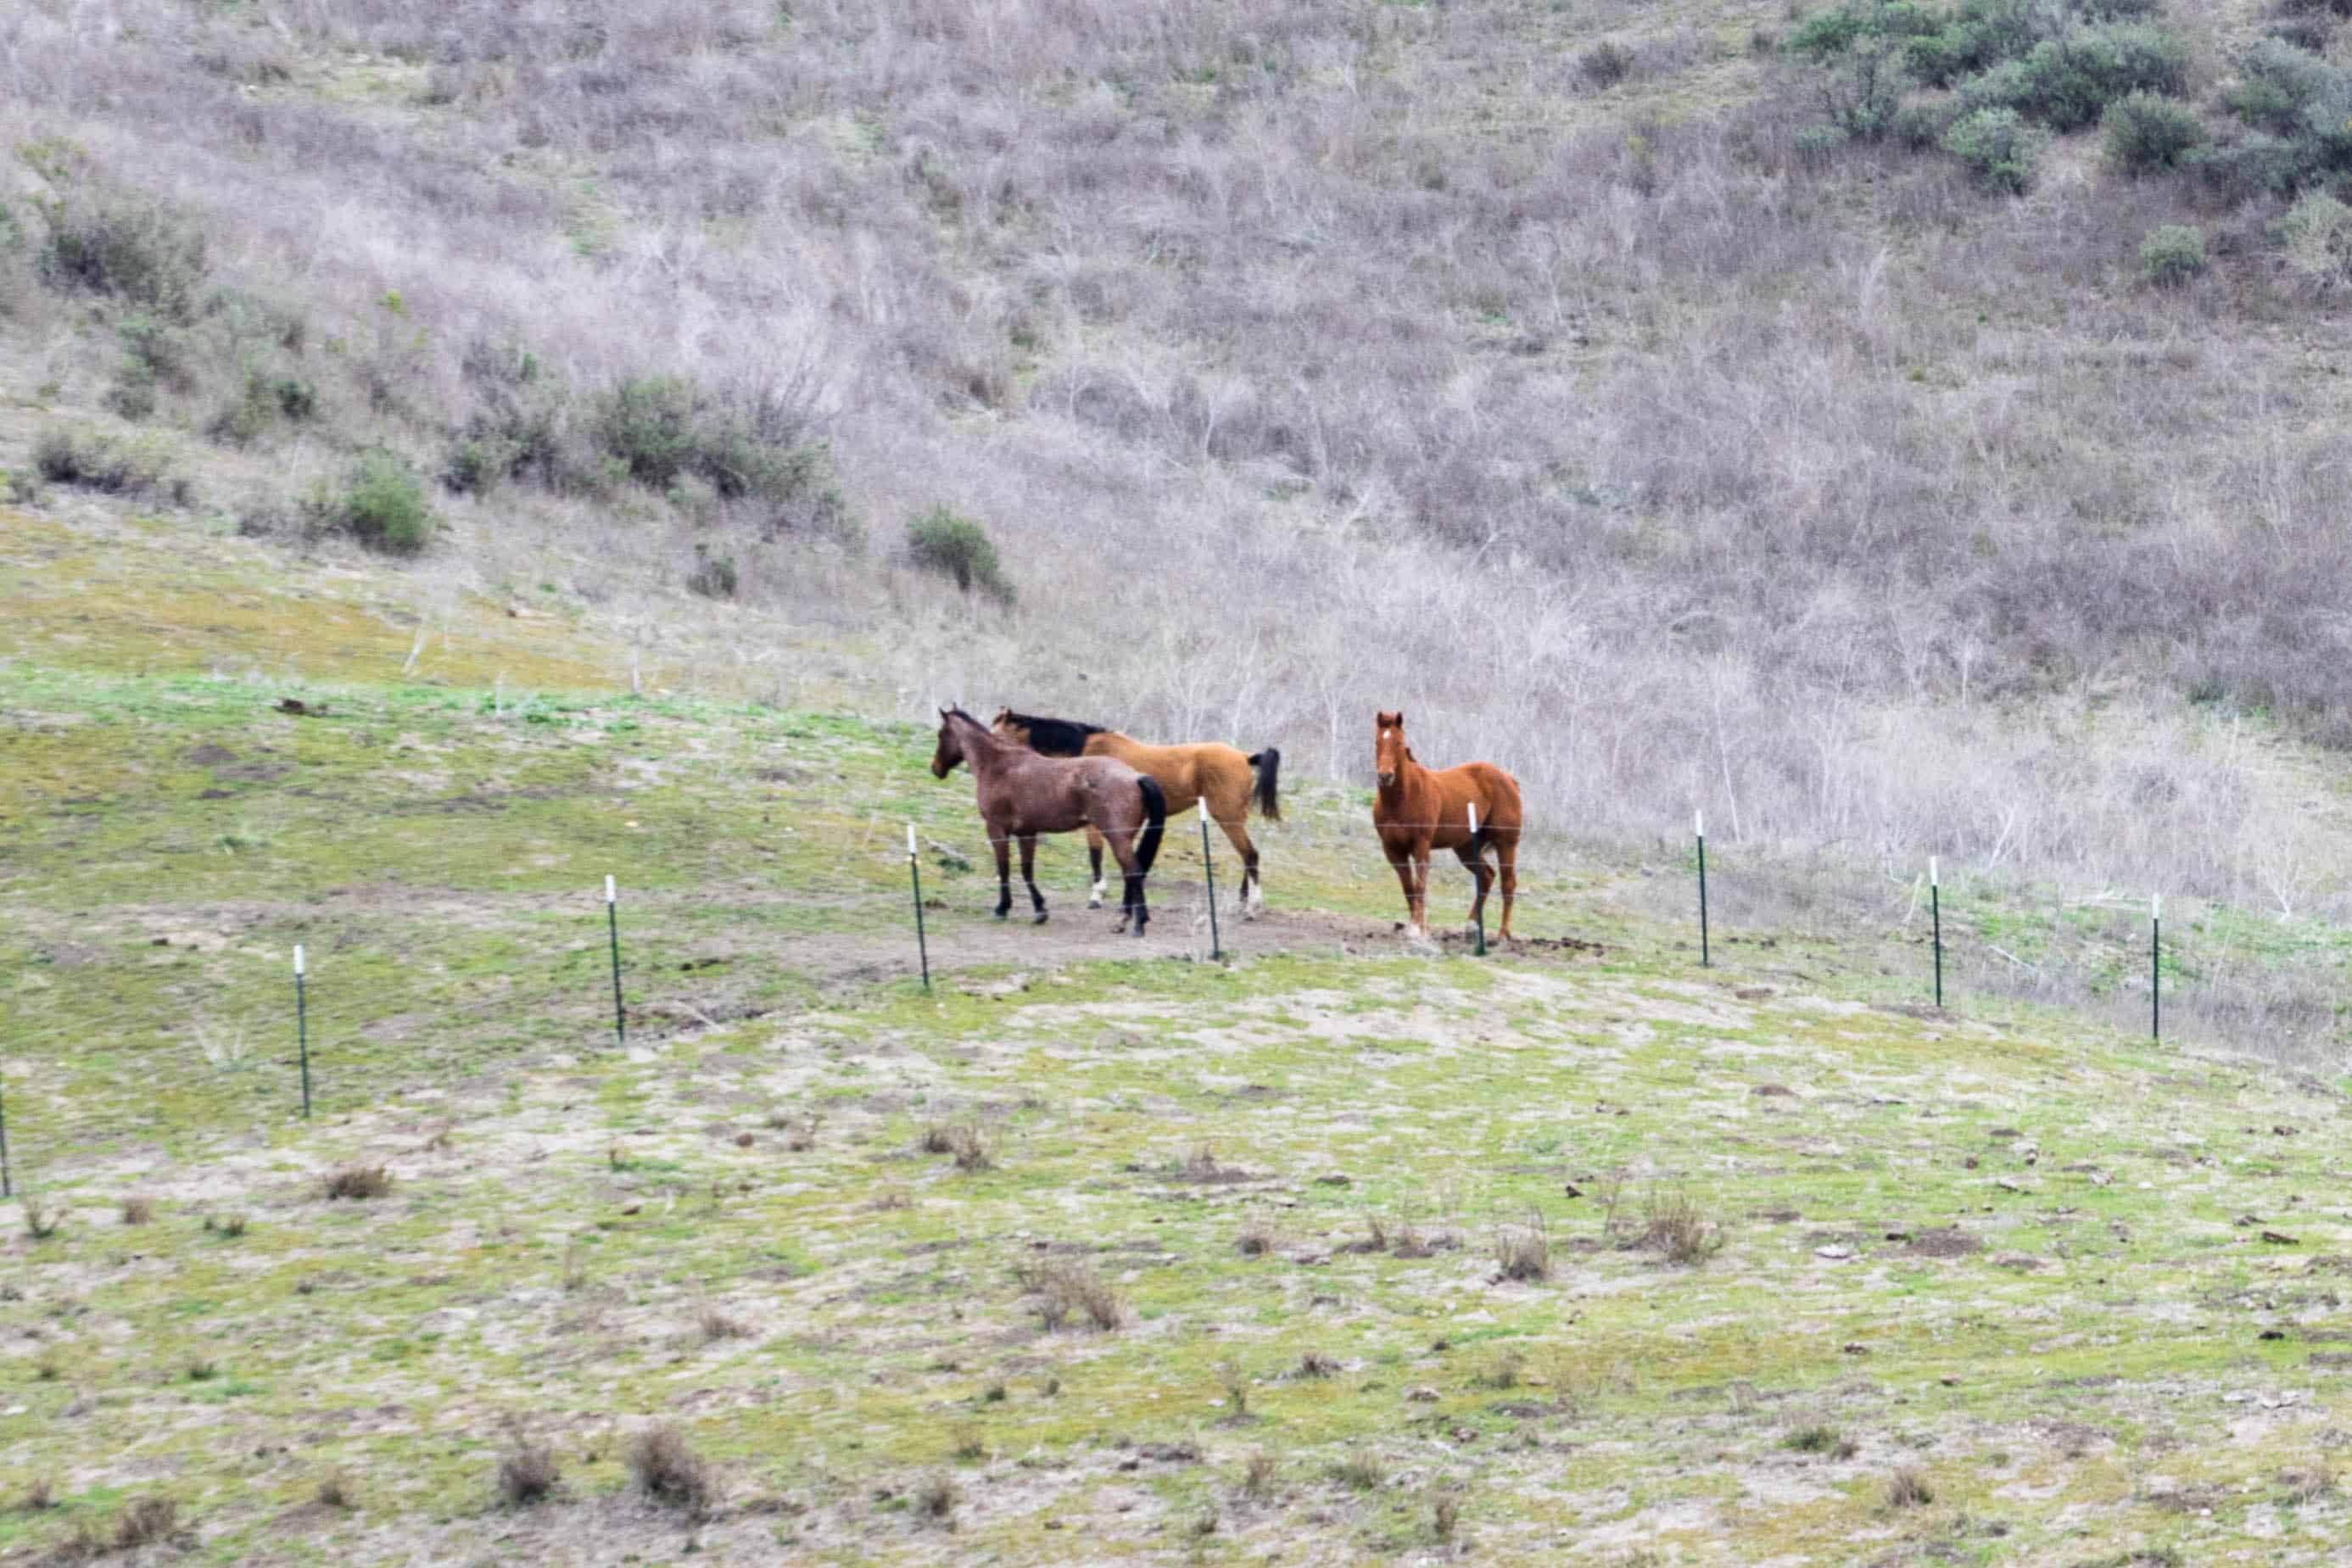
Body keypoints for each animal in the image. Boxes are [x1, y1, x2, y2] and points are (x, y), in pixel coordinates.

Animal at [930, 707, 1167, 934]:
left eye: (941, 734)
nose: (935, 769)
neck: (999, 765)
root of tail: (1136, 776)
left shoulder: (996, 830)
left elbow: (1004, 868)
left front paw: (1002, 908)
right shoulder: (1027, 833)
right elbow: (1027, 870)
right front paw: (1040, 911)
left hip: (1117, 839)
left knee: (1133, 873)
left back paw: (1134, 924)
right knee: (1132, 874)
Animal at [991, 709, 1281, 915]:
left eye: (997, 733)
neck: (1087, 752)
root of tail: (1244, 756)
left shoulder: (1095, 824)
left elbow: (1095, 856)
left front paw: (1097, 896)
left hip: (1228, 817)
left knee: (1250, 855)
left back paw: (1253, 906)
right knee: (1248, 856)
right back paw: (1244, 900)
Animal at [1370, 710, 1522, 941]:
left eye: (1398, 742)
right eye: (1378, 742)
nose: (1385, 776)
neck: (1402, 799)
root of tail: (1509, 779)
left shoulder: (1421, 846)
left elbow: (1420, 885)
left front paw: (1417, 928)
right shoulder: (1394, 851)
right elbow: (1409, 887)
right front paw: (1418, 927)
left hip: (1506, 844)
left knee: (1508, 883)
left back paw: (1503, 934)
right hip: (1466, 849)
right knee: (1487, 876)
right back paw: (1472, 926)